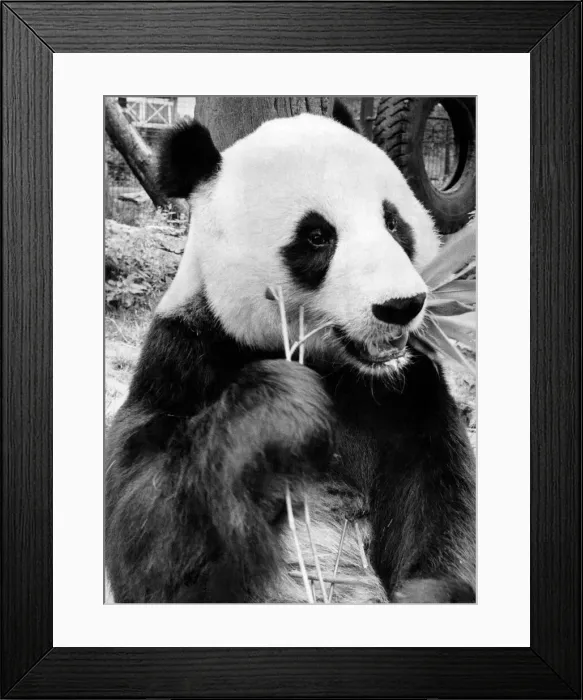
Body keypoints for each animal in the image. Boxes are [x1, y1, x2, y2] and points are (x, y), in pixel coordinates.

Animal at [105, 100, 476, 604]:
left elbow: (445, 500)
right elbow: (143, 529)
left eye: (393, 222)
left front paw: (428, 593)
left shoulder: (413, 388)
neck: (346, 373)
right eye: (317, 237)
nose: (400, 306)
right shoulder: (184, 356)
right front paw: (284, 403)